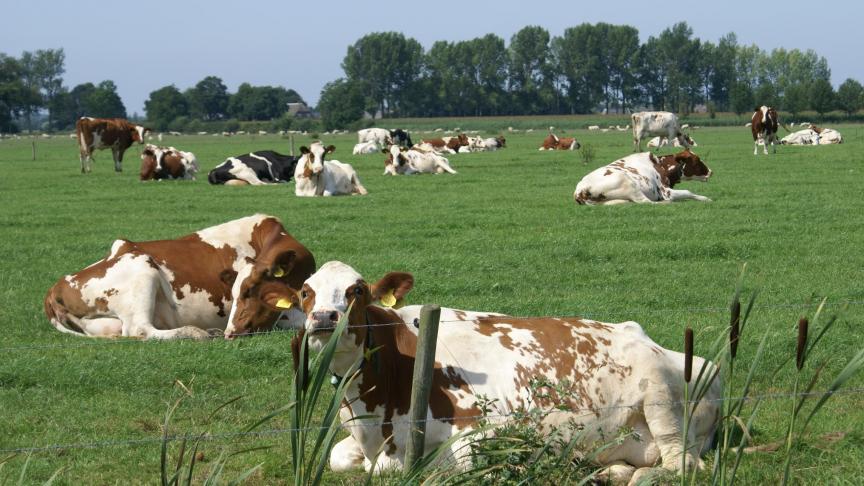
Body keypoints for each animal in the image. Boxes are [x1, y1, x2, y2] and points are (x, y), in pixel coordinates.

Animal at [43, 215, 314, 340]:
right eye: (238, 292)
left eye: (250, 291)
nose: (230, 332)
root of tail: (57, 285)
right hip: (143, 271)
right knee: (140, 330)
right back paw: (197, 333)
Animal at [296, 260, 724, 480]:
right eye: (305, 291)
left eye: (357, 290)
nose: (324, 318)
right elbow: (339, 457)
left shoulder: (486, 428)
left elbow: (458, 466)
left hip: (660, 395)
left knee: (680, 463)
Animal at [572, 151, 708, 206]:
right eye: (697, 161)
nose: (710, 171)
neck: (660, 165)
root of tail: (579, 190)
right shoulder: (666, 191)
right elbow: (687, 192)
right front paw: (705, 198)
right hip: (628, 183)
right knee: (646, 202)